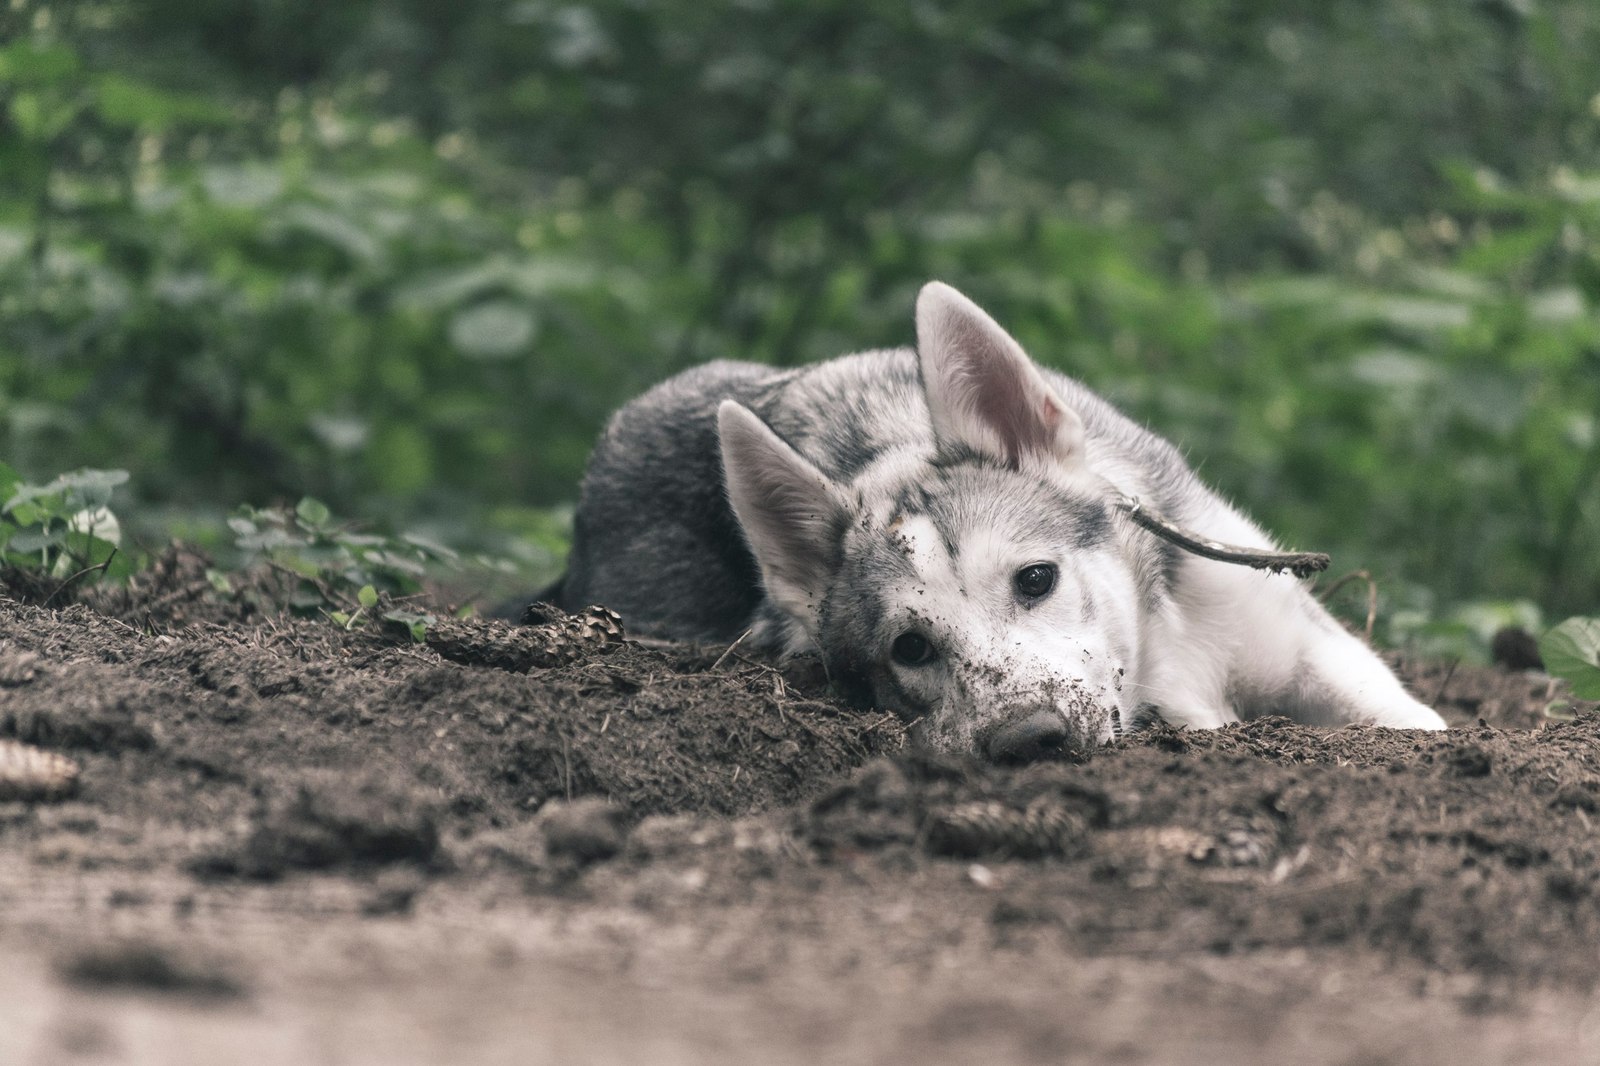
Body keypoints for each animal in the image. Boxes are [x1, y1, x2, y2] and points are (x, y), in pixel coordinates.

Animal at [550, 278, 1452, 758]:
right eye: (910, 649)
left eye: (1036, 579)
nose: (1030, 738)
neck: (1170, 651)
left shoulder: (1304, 645)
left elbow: (1416, 721)